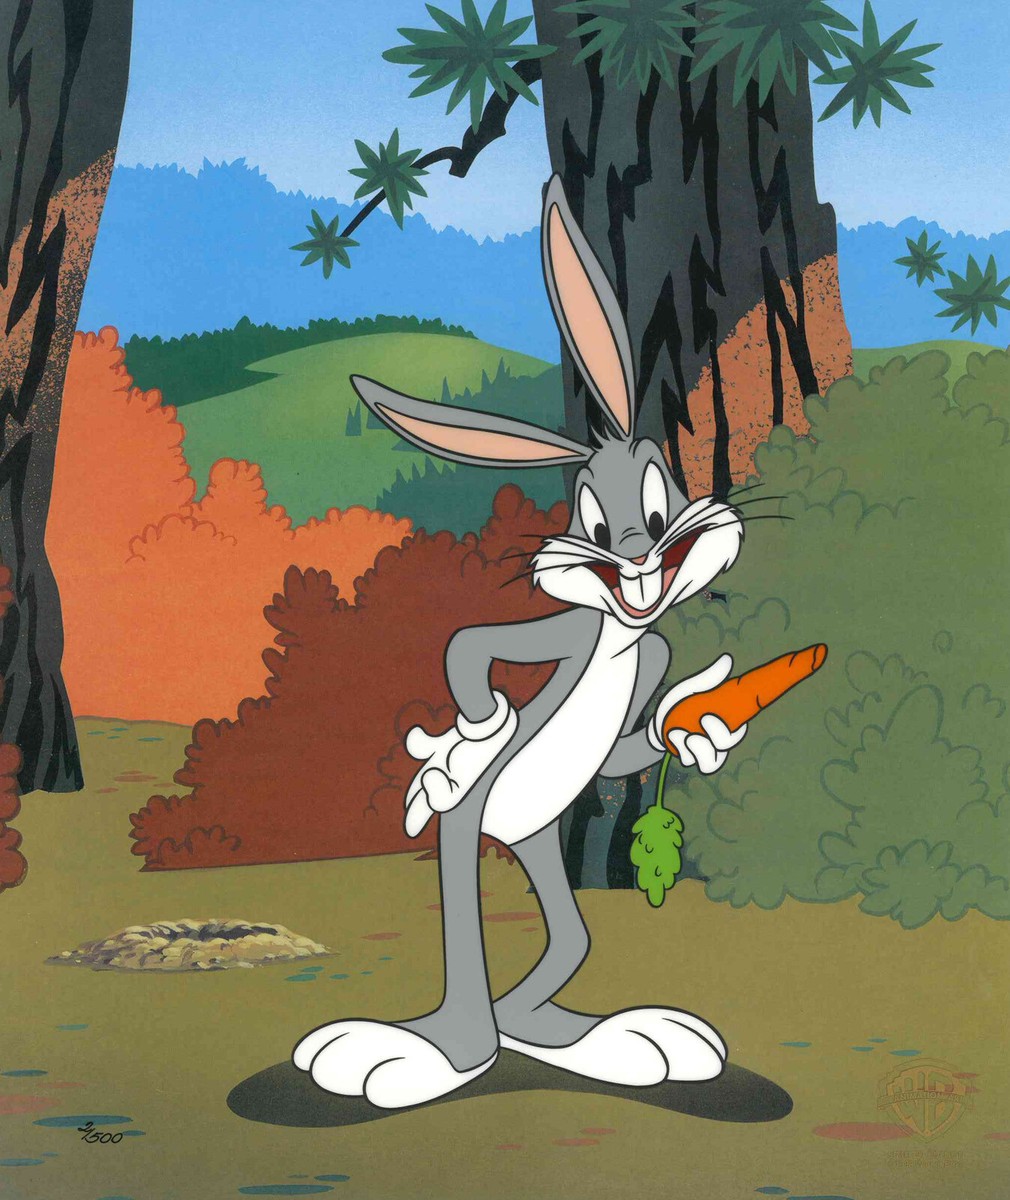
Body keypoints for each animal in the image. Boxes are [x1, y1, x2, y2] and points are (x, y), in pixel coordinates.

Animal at [292, 174, 748, 1110]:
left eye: (660, 502)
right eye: (596, 523)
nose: (639, 555)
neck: (621, 638)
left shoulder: (649, 652)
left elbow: (631, 746)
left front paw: (694, 729)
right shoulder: (566, 631)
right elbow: (469, 647)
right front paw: (471, 736)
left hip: (538, 838)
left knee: (569, 943)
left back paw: (579, 1035)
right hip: (484, 825)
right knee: (472, 932)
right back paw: (444, 1049)